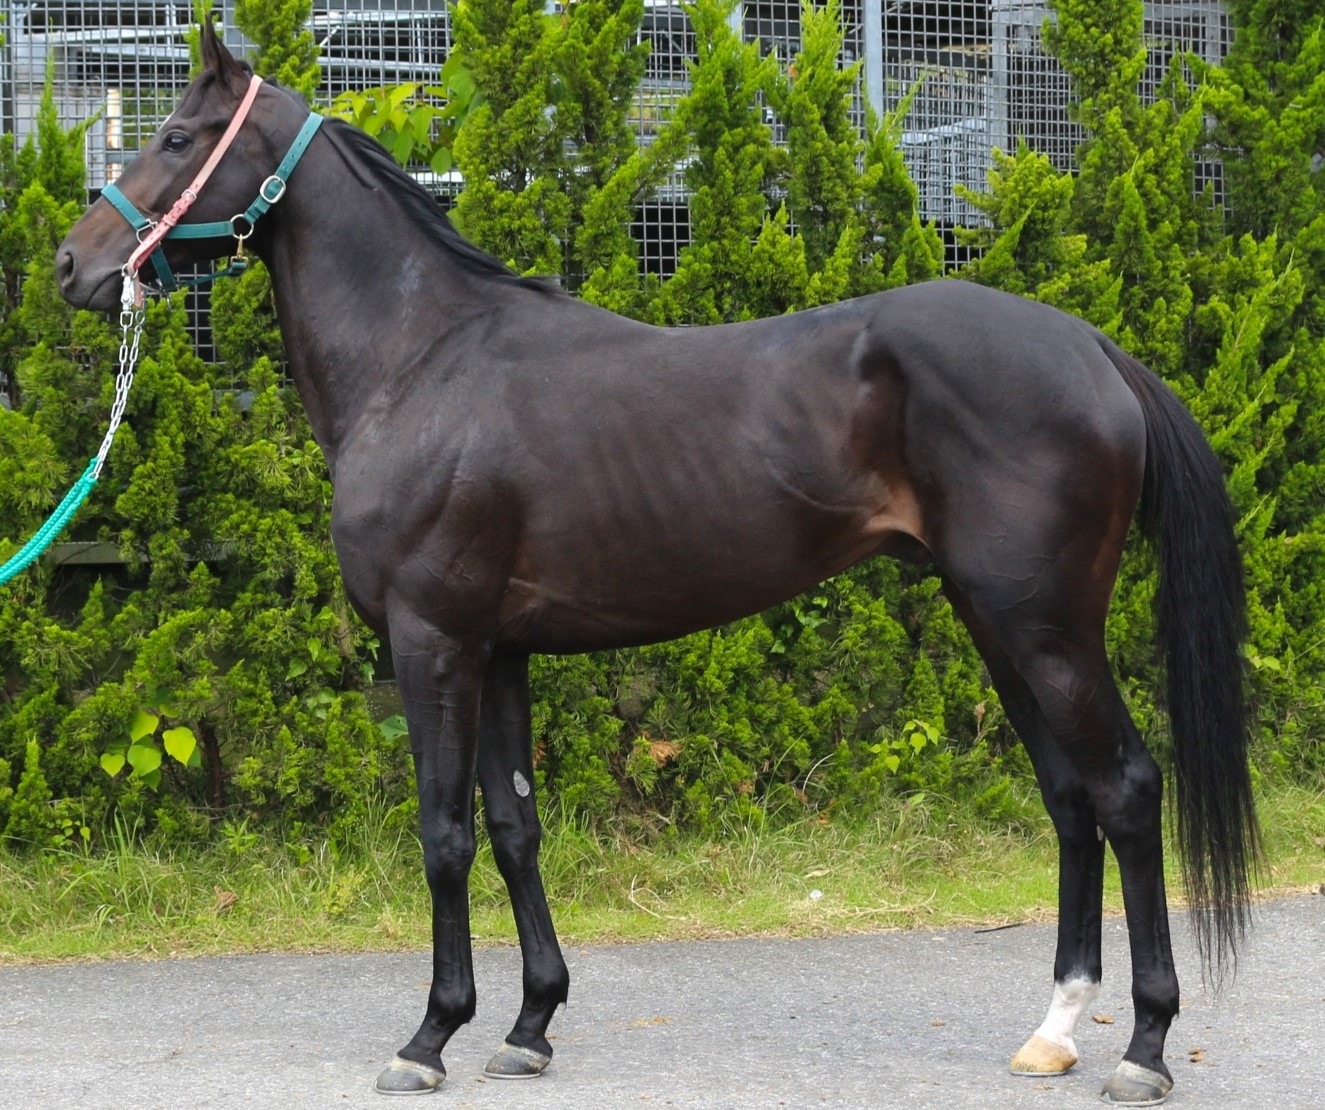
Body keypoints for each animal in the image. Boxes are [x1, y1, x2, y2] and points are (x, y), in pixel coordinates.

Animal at [57, 24, 1257, 1105]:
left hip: (1042, 628)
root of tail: (1089, 347)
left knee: (1124, 789)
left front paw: (429, 1037)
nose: (75, 264)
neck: (422, 360)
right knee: (1068, 798)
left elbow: (443, 835)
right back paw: (1052, 1032)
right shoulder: (498, 651)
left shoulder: (431, 642)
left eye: (172, 134)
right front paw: (528, 1027)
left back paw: (1144, 1047)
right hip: (995, 622)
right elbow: (514, 827)